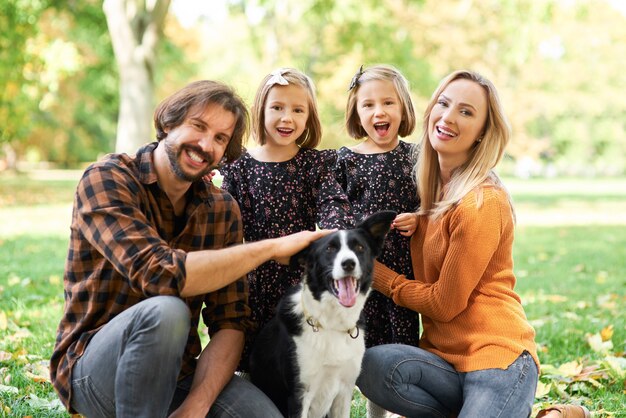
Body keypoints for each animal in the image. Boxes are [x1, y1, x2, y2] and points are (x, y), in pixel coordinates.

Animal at [250, 212, 392, 418]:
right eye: (329, 249)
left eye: (359, 247)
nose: (349, 263)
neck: (331, 323)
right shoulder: (299, 395)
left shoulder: (345, 390)